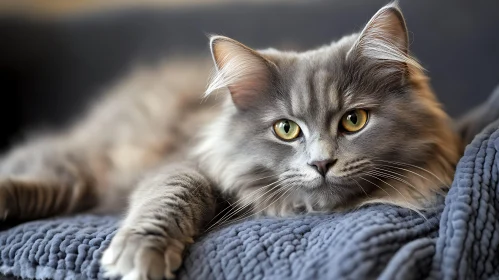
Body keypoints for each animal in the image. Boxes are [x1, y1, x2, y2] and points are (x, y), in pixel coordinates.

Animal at [0, 2, 462, 280]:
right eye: (286, 129)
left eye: (354, 121)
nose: (321, 163)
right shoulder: (183, 164)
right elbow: (174, 191)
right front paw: (140, 254)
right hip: (80, 166)